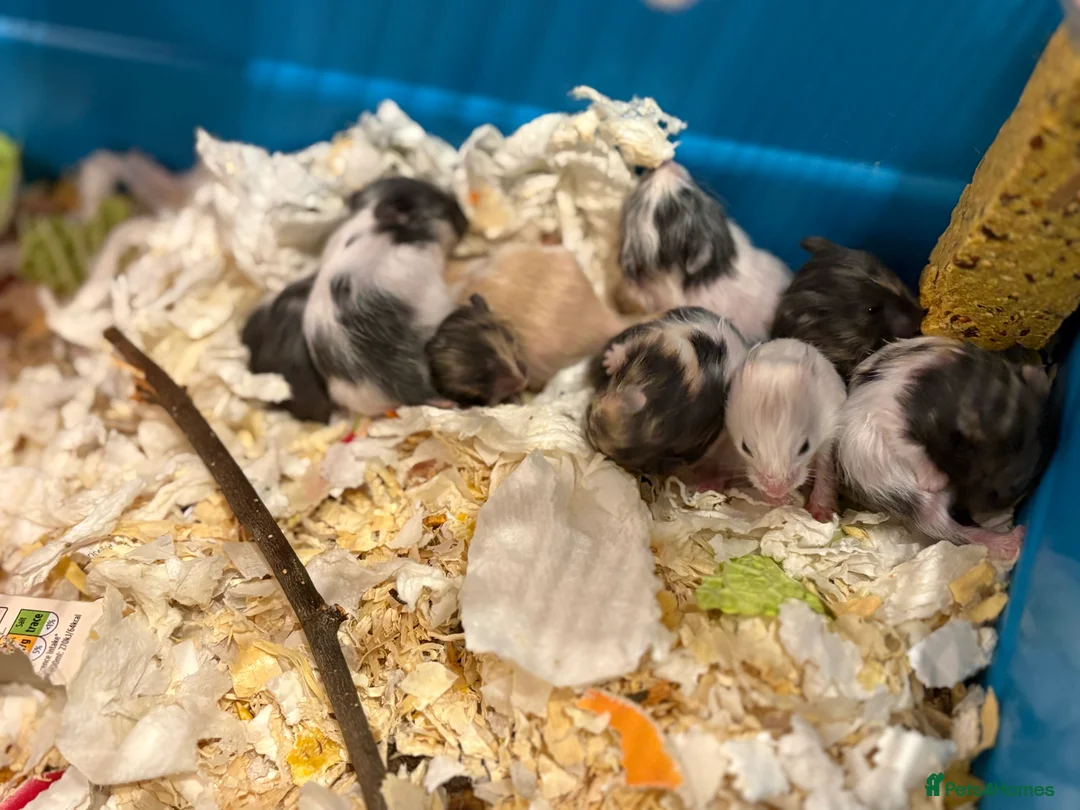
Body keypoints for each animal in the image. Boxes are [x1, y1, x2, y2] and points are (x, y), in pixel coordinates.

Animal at [725, 339, 847, 520]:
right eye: (745, 448)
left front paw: (821, 516)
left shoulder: (829, 436)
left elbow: (824, 473)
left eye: (805, 447)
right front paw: (782, 501)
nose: (777, 491)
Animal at [836, 336, 1051, 559]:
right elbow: (909, 445)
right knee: (944, 527)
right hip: (912, 496)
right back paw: (1009, 541)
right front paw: (934, 480)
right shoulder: (891, 416)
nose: (983, 513)